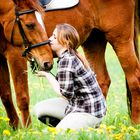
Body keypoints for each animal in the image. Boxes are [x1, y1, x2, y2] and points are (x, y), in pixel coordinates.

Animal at [0, 0, 53, 129]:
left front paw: (25, 129)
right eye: (29, 25)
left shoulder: (15, 53)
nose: (48, 62)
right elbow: (6, 96)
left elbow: (21, 97)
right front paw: (17, 127)